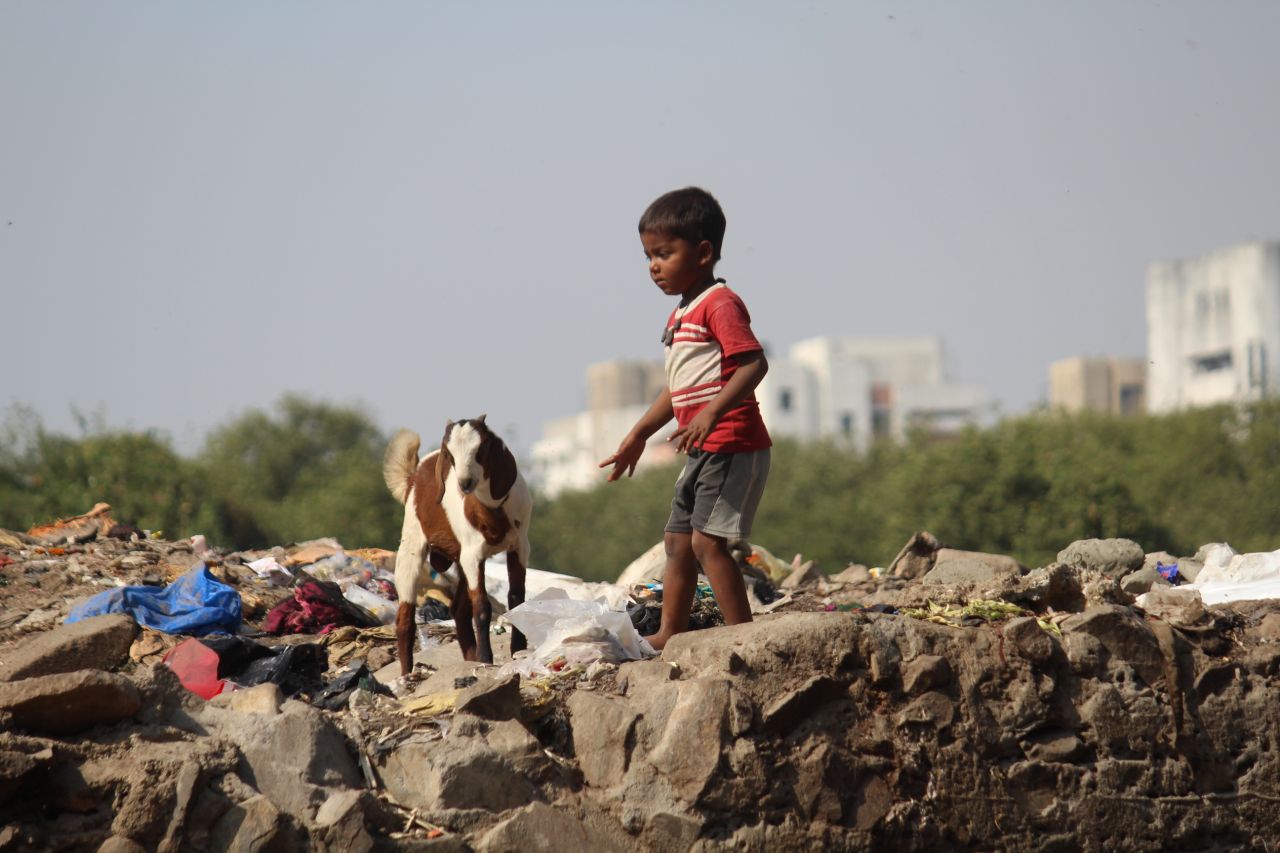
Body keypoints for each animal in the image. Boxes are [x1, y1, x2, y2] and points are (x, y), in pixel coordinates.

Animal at [384, 414, 535, 676]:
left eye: (481, 448)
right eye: (450, 453)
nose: (465, 483)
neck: (491, 511)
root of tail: (413, 477)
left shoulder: (519, 547)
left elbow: (517, 598)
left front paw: (518, 650)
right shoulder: (473, 556)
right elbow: (482, 607)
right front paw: (486, 658)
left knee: (459, 609)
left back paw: (469, 660)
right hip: (411, 542)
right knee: (405, 618)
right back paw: (406, 674)